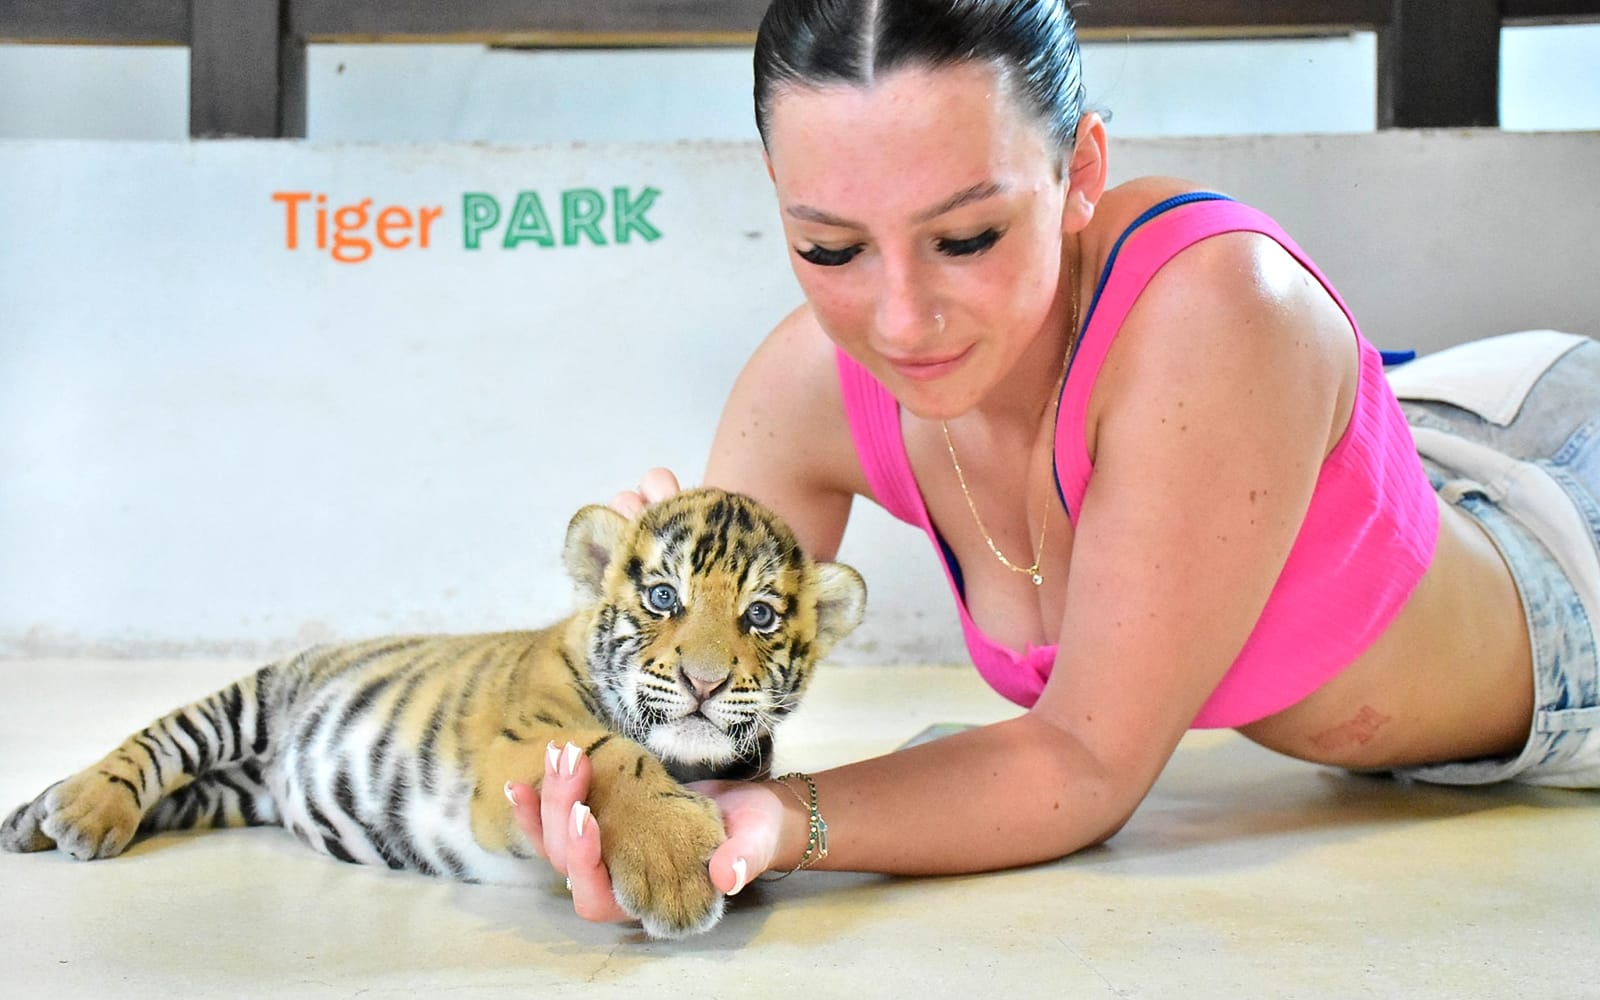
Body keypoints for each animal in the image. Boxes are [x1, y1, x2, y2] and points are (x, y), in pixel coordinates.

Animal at [0, 488, 867, 939]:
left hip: (237, 792)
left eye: (759, 616)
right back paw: (81, 809)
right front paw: (673, 861)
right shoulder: (521, 748)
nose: (703, 681)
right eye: (662, 598)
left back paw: (33, 820)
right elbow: (611, 754)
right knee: (156, 745)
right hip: (253, 701)